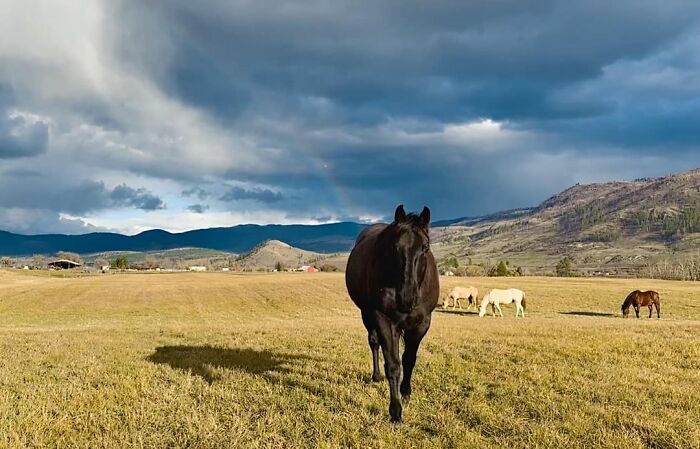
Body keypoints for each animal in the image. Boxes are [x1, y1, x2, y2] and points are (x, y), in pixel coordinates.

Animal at [345, 205, 439, 423]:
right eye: (395, 247)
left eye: (425, 248)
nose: (407, 298)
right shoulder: (383, 318)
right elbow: (393, 365)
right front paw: (395, 410)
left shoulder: (422, 323)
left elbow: (409, 360)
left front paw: (405, 393)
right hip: (367, 314)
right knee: (374, 342)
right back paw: (376, 376)